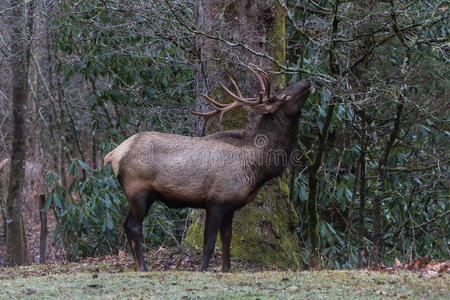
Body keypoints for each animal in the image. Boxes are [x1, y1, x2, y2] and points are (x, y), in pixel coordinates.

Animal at [103, 65, 314, 272]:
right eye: (284, 96)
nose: (307, 81)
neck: (256, 167)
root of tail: (112, 154)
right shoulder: (216, 201)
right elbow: (209, 243)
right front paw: (203, 269)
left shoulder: (230, 205)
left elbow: (227, 238)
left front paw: (227, 269)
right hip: (138, 191)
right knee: (134, 226)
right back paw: (142, 267)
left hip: (145, 196)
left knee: (126, 223)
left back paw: (139, 265)